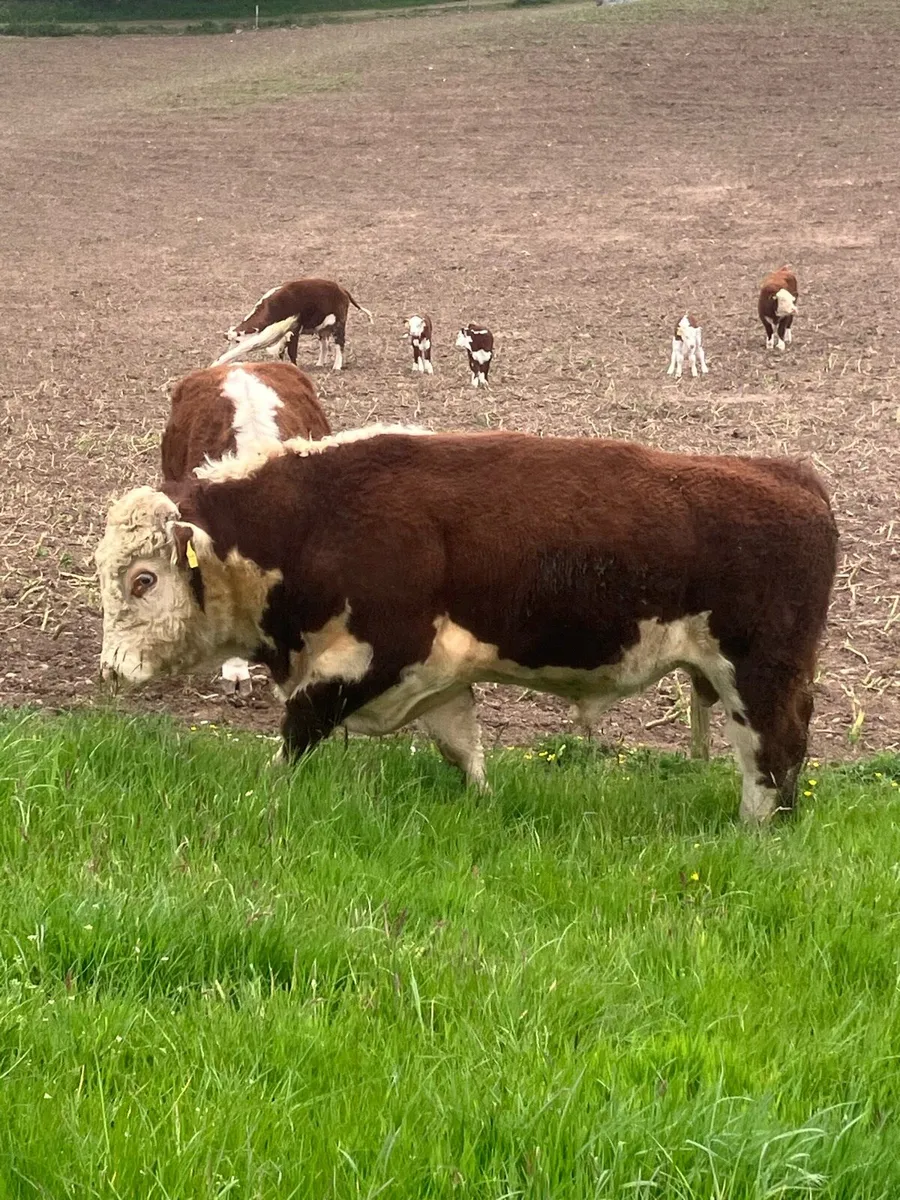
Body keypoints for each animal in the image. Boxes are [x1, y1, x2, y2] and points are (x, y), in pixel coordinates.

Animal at [96, 428, 838, 824]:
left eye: (143, 579)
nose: (110, 670)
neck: (317, 520)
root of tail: (792, 476)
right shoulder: (439, 677)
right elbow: (463, 748)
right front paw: (484, 805)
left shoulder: (369, 658)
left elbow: (296, 734)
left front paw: (262, 797)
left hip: (758, 677)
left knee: (773, 754)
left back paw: (754, 832)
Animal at [213, 279, 374, 372]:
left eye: (237, 341)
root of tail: (342, 289)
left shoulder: (294, 329)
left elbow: (292, 351)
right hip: (322, 329)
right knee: (324, 345)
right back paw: (320, 364)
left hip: (338, 325)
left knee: (339, 344)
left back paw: (337, 366)